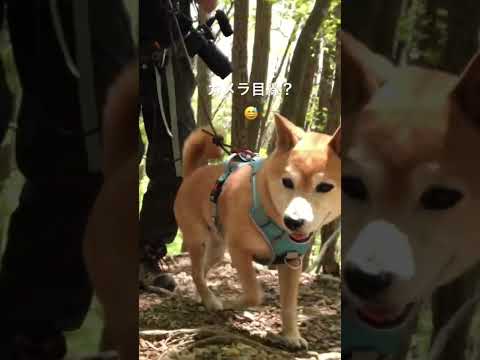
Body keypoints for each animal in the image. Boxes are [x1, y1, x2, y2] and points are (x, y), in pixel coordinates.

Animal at [172, 114, 342, 348]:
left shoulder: (291, 262)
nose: (293, 221)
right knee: (197, 272)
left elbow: (289, 306)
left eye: (325, 187)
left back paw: (203, 296)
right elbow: (254, 294)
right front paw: (231, 302)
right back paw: (211, 300)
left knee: (199, 272)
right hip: (198, 240)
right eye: (287, 182)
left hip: (217, 249)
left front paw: (291, 336)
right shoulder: (239, 251)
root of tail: (191, 175)